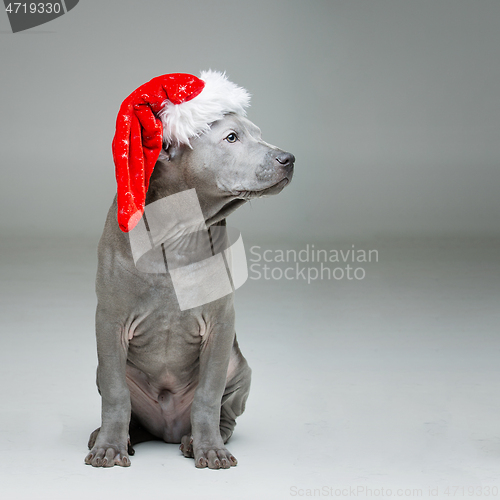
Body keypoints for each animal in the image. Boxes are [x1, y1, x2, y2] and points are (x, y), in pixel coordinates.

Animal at [85, 74, 292, 468]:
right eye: (232, 137)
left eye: (258, 133)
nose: (288, 158)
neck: (180, 231)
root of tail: (165, 428)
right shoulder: (110, 321)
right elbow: (117, 396)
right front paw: (110, 447)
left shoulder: (221, 325)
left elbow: (208, 396)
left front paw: (210, 448)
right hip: (103, 369)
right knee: (124, 402)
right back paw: (117, 436)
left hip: (240, 369)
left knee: (224, 412)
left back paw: (194, 440)